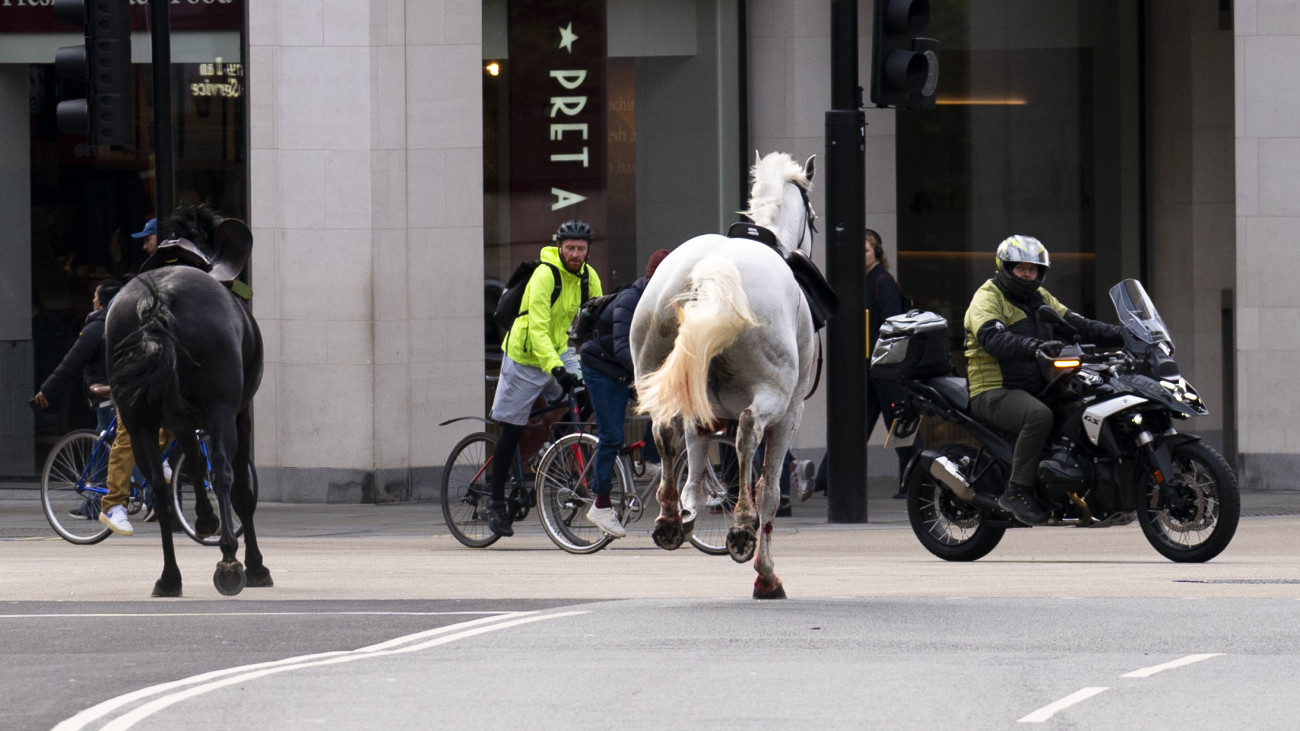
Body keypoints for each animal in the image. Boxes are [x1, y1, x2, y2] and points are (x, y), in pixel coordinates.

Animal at [107, 201, 269, 595]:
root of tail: (158, 301)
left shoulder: (179, 420)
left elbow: (193, 464)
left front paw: (206, 519)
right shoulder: (238, 413)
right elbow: (238, 490)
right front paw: (256, 564)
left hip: (138, 421)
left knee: (160, 491)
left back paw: (169, 577)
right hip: (221, 410)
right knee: (224, 473)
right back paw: (229, 561)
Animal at [631, 149, 821, 598]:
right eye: (815, 218)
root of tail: (712, 270)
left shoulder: (699, 411)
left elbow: (696, 475)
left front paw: (686, 512)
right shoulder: (790, 415)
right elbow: (768, 491)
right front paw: (766, 574)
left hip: (659, 376)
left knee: (665, 432)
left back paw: (669, 517)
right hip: (771, 396)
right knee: (749, 433)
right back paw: (741, 529)